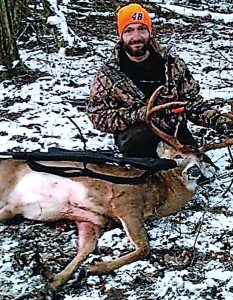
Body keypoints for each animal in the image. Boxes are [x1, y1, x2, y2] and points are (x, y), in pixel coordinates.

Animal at [0, 85, 232, 290]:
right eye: (177, 156)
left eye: (201, 160)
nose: (195, 171)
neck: (159, 195)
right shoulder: (125, 203)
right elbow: (144, 247)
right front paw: (94, 268)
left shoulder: (92, 220)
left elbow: (86, 249)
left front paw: (56, 281)